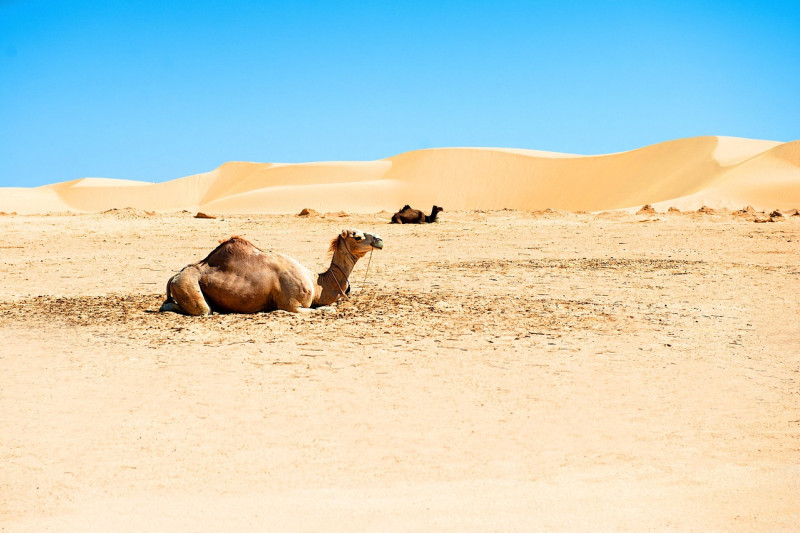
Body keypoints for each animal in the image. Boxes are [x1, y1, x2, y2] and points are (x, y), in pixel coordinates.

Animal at [159, 228, 384, 315]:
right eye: (357, 236)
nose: (380, 240)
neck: (317, 282)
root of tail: (173, 277)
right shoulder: (293, 305)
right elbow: (323, 309)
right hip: (188, 286)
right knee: (202, 310)